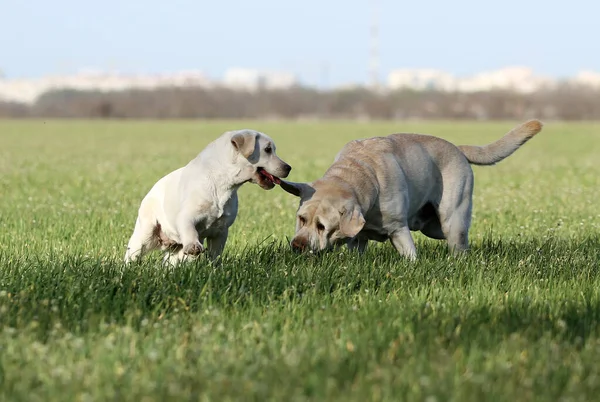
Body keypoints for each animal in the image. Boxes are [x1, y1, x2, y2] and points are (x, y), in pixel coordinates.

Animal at [125, 129, 290, 266]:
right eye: (267, 149)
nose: (288, 167)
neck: (224, 185)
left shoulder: (221, 230)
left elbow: (214, 254)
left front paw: (212, 268)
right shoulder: (186, 216)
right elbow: (190, 230)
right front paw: (193, 246)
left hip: (176, 250)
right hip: (145, 233)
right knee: (132, 253)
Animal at [278, 119, 540, 260]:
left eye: (322, 226)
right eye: (301, 219)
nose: (297, 245)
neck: (357, 175)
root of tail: (458, 148)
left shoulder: (399, 230)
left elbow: (411, 257)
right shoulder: (358, 239)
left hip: (452, 219)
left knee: (460, 244)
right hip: (432, 227)